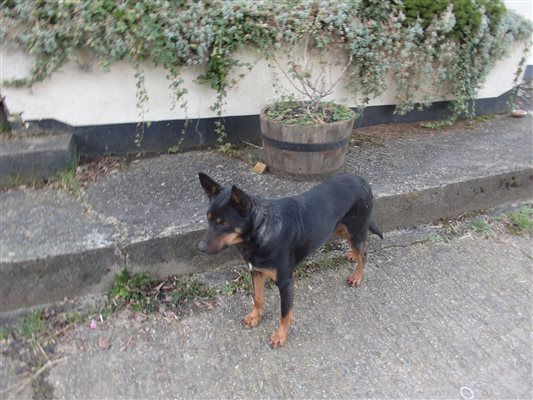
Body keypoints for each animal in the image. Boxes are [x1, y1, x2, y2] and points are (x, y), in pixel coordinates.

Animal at [197, 173, 380, 348]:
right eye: (208, 218)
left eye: (224, 223)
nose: (200, 248)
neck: (261, 229)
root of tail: (362, 181)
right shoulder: (256, 271)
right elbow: (258, 298)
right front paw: (255, 317)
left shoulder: (285, 282)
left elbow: (285, 313)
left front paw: (280, 336)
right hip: (342, 228)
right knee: (358, 249)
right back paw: (352, 255)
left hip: (356, 230)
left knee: (364, 253)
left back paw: (357, 276)